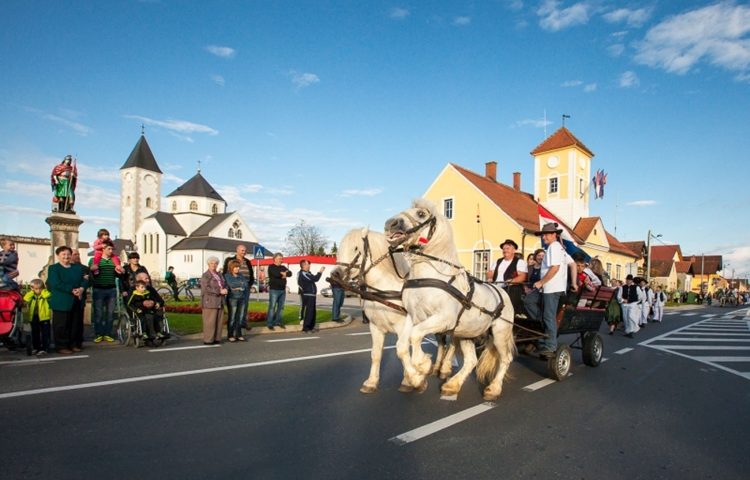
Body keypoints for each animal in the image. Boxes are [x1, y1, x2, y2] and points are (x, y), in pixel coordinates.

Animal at [336, 229, 458, 394]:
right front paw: (371, 382)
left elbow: (402, 350)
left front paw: (413, 380)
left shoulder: (405, 326)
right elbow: (376, 354)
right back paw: (437, 367)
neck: (385, 291)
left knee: (452, 342)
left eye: (356, 248)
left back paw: (445, 368)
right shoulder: (375, 327)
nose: (335, 274)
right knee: (441, 342)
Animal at [388, 198, 516, 402]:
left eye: (421, 214)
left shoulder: (443, 319)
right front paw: (416, 379)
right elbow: (401, 346)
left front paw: (423, 364)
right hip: (467, 333)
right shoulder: (413, 316)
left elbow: (415, 335)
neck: (429, 276)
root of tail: (502, 292)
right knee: (471, 360)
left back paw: (493, 389)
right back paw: (452, 385)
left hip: (500, 333)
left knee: (505, 359)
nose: (390, 224)